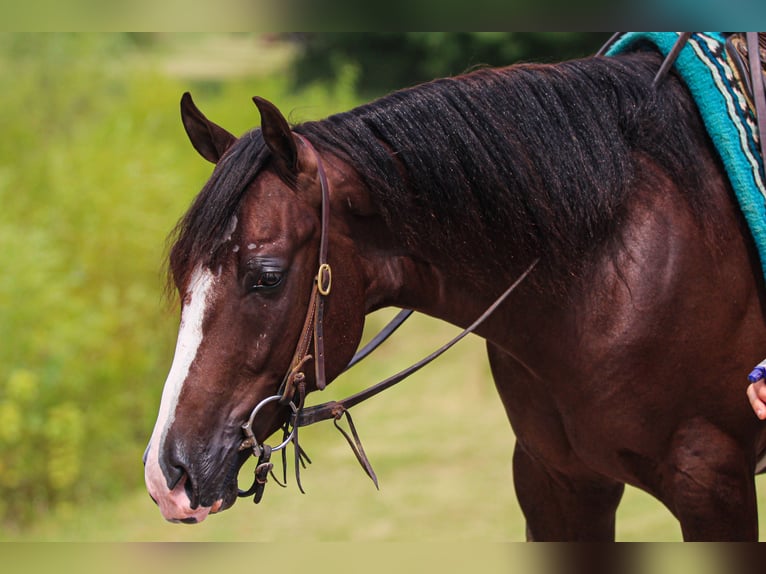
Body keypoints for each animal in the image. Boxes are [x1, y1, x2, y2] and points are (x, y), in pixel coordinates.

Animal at [143, 45, 766, 540]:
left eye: (266, 276)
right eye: (181, 273)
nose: (168, 475)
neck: (605, 271)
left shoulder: (710, 485)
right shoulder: (558, 481)